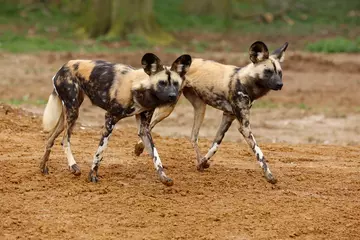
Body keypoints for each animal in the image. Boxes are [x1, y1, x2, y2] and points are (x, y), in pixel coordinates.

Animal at [39, 54, 191, 186]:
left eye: (176, 83)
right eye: (162, 83)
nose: (173, 96)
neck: (138, 89)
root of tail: (63, 66)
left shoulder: (144, 129)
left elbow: (156, 155)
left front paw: (163, 177)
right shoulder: (110, 120)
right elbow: (100, 152)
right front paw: (92, 176)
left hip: (68, 114)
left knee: (50, 138)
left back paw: (42, 167)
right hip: (73, 112)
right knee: (65, 140)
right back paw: (73, 166)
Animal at [134, 41, 288, 184]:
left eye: (280, 73)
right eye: (268, 72)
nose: (280, 85)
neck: (244, 81)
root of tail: (169, 69)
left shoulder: (228, 117)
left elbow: (215, 145)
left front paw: (202, 162)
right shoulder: (244, 126)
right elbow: (259, 152)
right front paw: (269, 175)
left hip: (200, 108)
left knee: (193, 136)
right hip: (168, 108)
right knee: (148, 127)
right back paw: (139, 147)